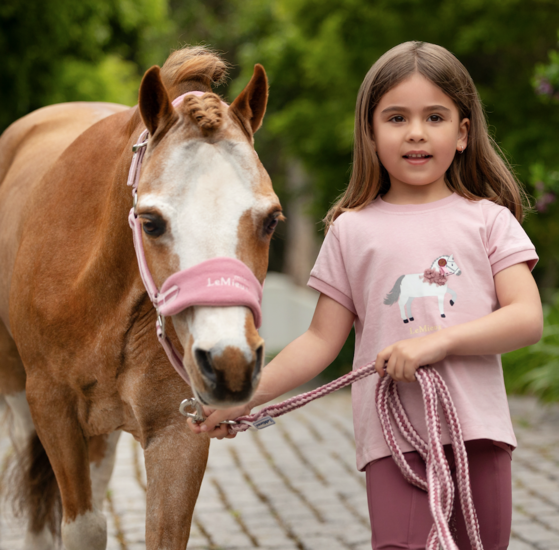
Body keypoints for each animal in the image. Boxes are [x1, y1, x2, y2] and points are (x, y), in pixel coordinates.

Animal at [0, 48, 282, 550]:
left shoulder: (178, 431)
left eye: (271, 220)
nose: (229, 363)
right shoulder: (51, 408)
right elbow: (82, 527)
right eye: (151, 222)